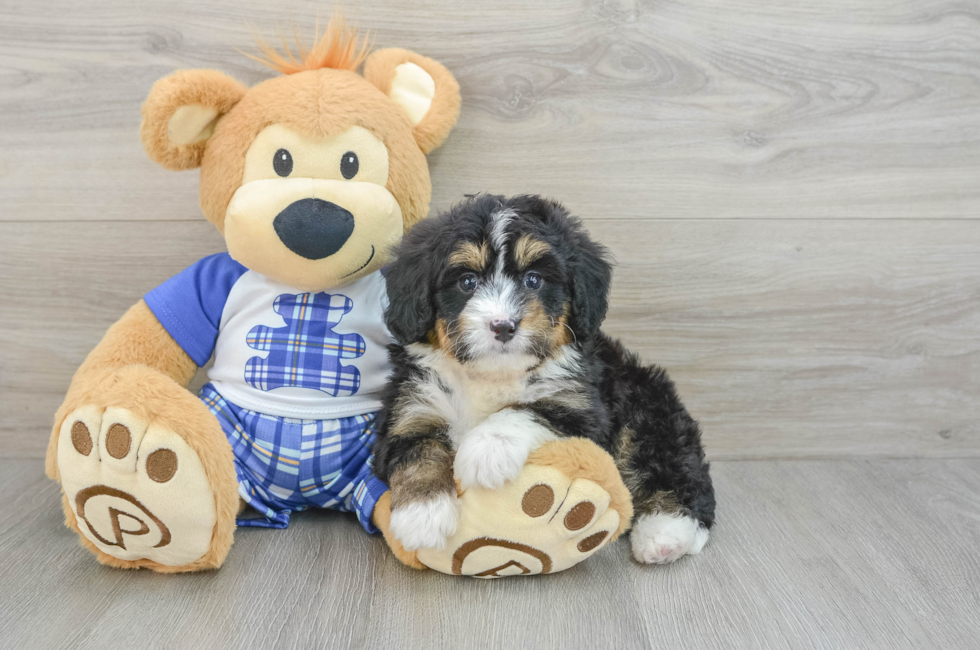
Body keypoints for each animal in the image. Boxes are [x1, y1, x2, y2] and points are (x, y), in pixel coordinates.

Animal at [372, 192, 716, 560]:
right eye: (467, 282)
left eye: (534, 279)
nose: (503, 326)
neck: (490, 375)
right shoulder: (410, 409)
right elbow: (417, 450)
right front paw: (422, 515)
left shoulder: (580, 407)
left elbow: (528, 409)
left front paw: (486, 449)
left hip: (645, 409)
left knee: (673, 467)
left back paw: (665, 533)